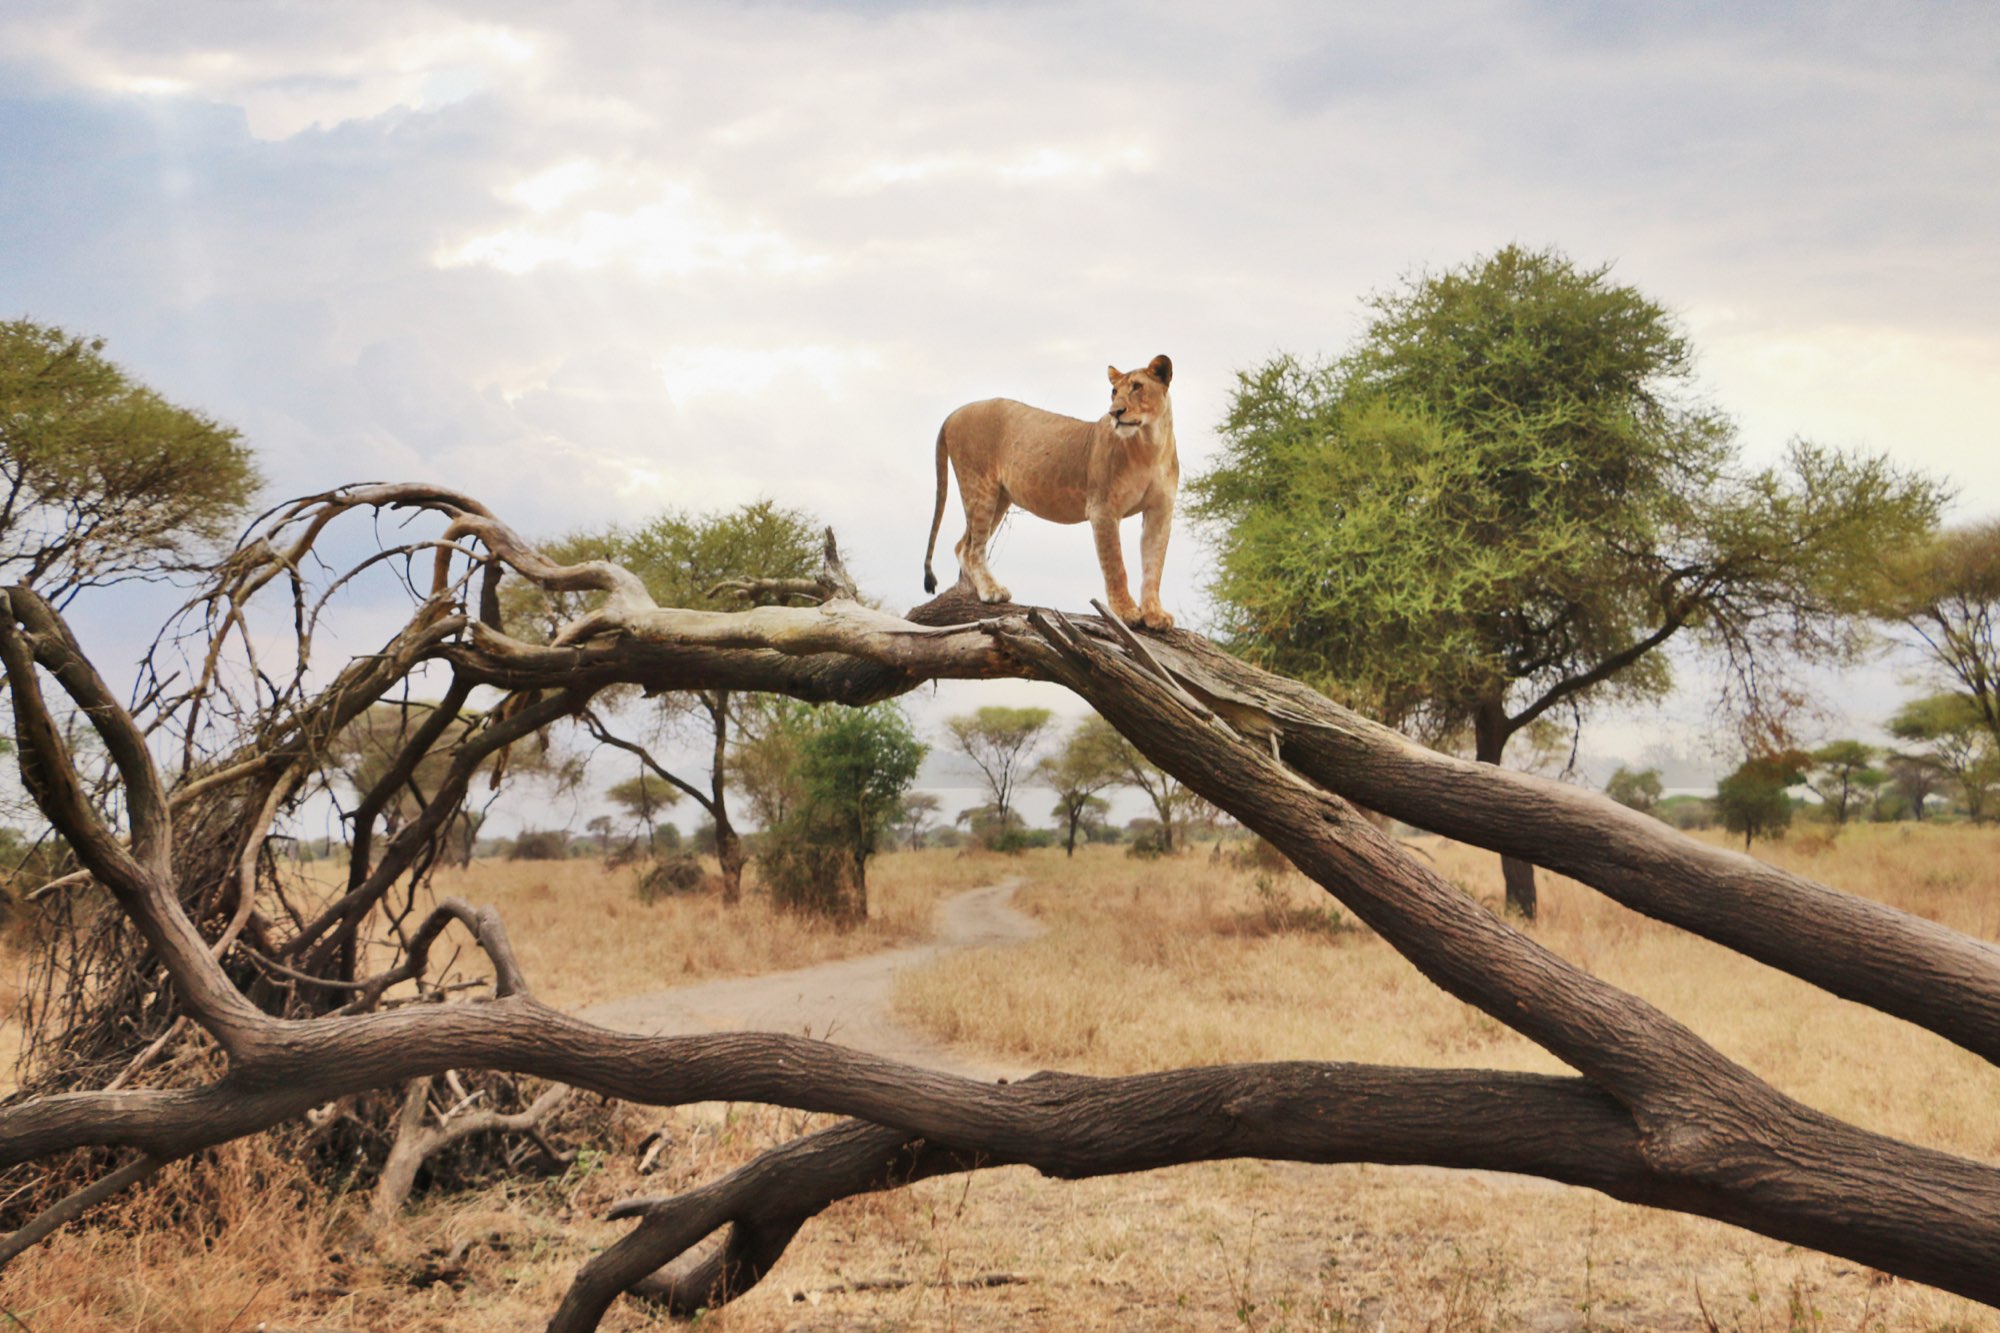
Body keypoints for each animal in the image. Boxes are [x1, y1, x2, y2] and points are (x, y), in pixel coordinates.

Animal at [922, 354, 1178, 629]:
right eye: (1114, 392)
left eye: (1137, 387)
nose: (1115, 412)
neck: (1149, 444)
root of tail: (953, 414)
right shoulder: (1102, 509)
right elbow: (1115, 565)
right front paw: (1125, 611)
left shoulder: (1160, 512)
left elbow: (1154, 566)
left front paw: (1155, 614)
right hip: (979, 488)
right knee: (972, 548)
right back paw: (991, 591)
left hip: (999, 498)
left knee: (962, 545)